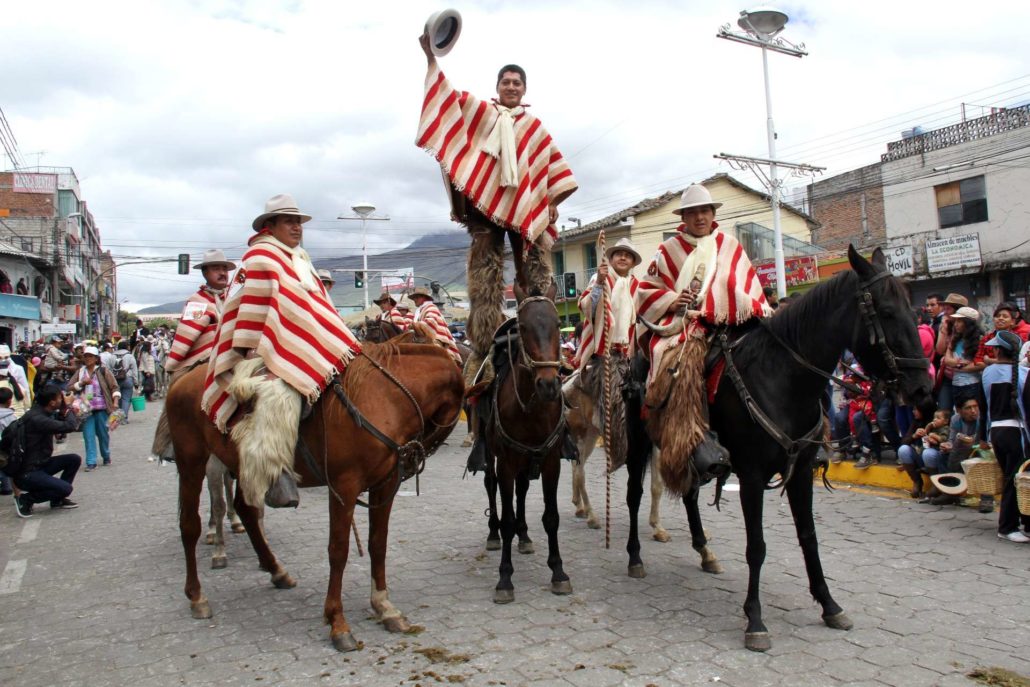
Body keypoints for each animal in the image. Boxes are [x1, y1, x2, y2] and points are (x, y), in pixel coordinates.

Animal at [164, 341, 463, 655]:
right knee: (190, 525)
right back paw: (197, 596)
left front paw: (384, 607)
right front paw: (338, 623)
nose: (414, 456)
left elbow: (378, 544)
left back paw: (276, 571)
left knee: (245, 510)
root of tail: (183, 379)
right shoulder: (344, 488)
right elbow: (338, 551)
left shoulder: (385, 485)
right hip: (192, 461)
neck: (383, 398)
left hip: (243, 464)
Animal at [477, 280, 568, 601]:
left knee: (523, 489)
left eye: (557, 324)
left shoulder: (551, 461)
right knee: (491, 485)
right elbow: (506, 518)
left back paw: (524, 534)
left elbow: (551, 517)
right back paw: (493, 533)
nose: (549, 384)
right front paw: (505, 578)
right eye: (524, 327)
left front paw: (558, 572)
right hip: (492, 452)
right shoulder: (506, 462)